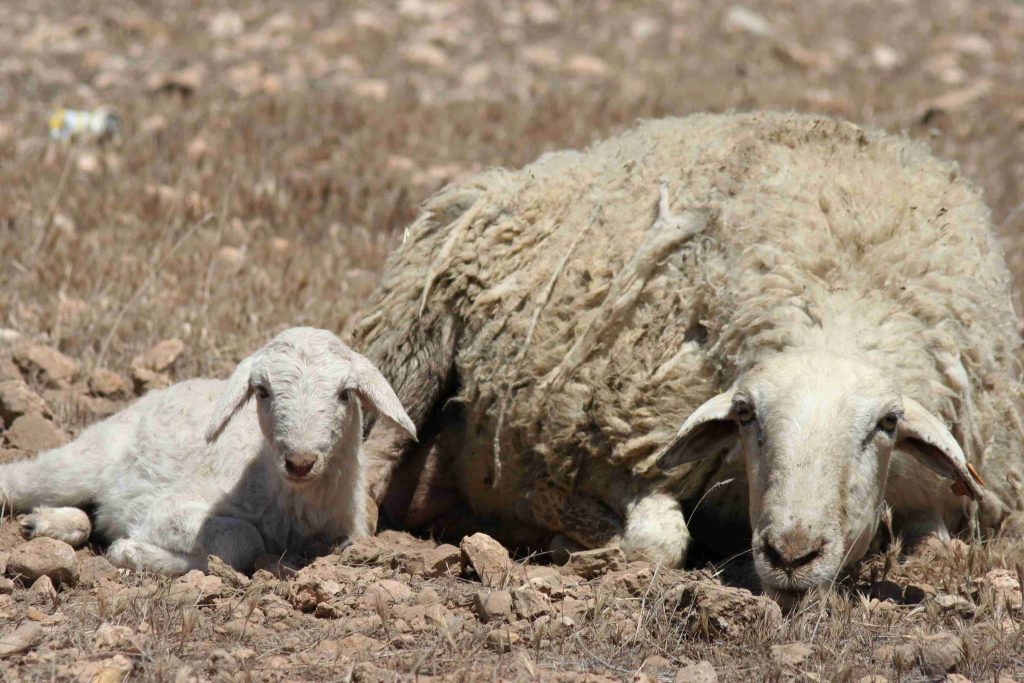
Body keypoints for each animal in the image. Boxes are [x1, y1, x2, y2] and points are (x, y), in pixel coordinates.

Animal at [0, 327, 415, 575]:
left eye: (345, 393)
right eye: (262, 391)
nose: (300, 462)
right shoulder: (166, 510)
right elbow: (242, 539)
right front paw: (128, 550)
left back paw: (44, 522)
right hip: (83, 460)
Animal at [353, 111, 1024, 598]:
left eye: (886, 424)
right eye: (747, 415)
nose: (791, 555)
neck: (837, 302)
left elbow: (941, 550)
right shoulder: (614, 450)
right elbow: (658, 542)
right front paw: (578, 540)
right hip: (412, 343)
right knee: (377, 455)